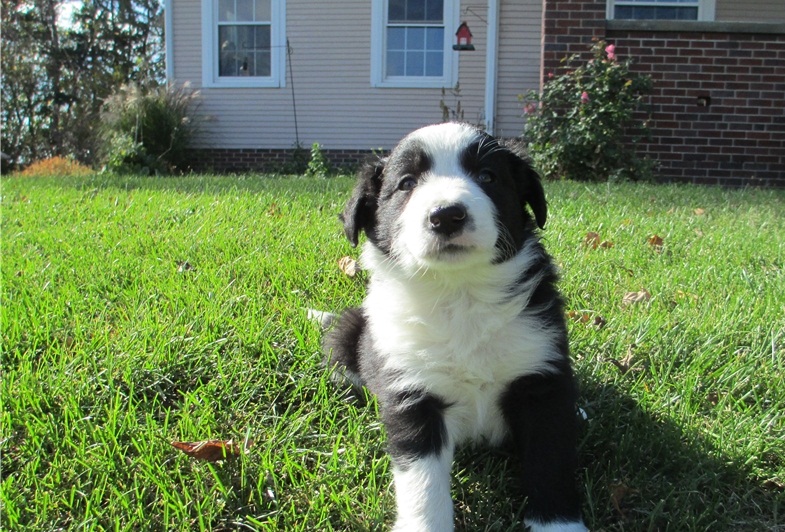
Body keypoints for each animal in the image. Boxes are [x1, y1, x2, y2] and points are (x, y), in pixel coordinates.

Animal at [322, 123, 584, 532]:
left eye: (488, 176)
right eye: (407, 183)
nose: (447, 215)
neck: (460, 294)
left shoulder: (542, 381)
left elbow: (550, 463)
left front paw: (558, 526)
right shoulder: (413, 395)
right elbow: (423, 484)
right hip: (351, 329)